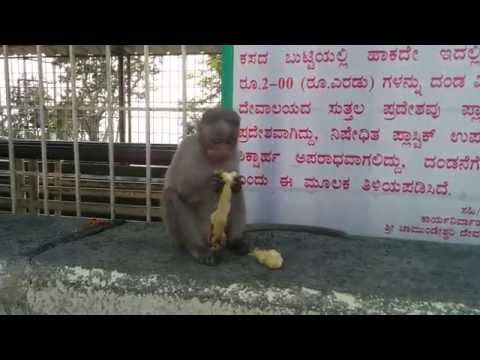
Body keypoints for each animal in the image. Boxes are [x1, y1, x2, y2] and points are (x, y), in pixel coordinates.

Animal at [163, 107, 249, 264]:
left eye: (227, 141)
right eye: (216, 141)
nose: (221, 150)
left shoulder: (234, 153)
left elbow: (233, 186)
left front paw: (236, 184)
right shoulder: (188, 148)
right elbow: (182, 189)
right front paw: (211, 183)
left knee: (237, 196)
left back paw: (235, 241)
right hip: (185, 234)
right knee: (171, 193)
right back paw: (197, 248)